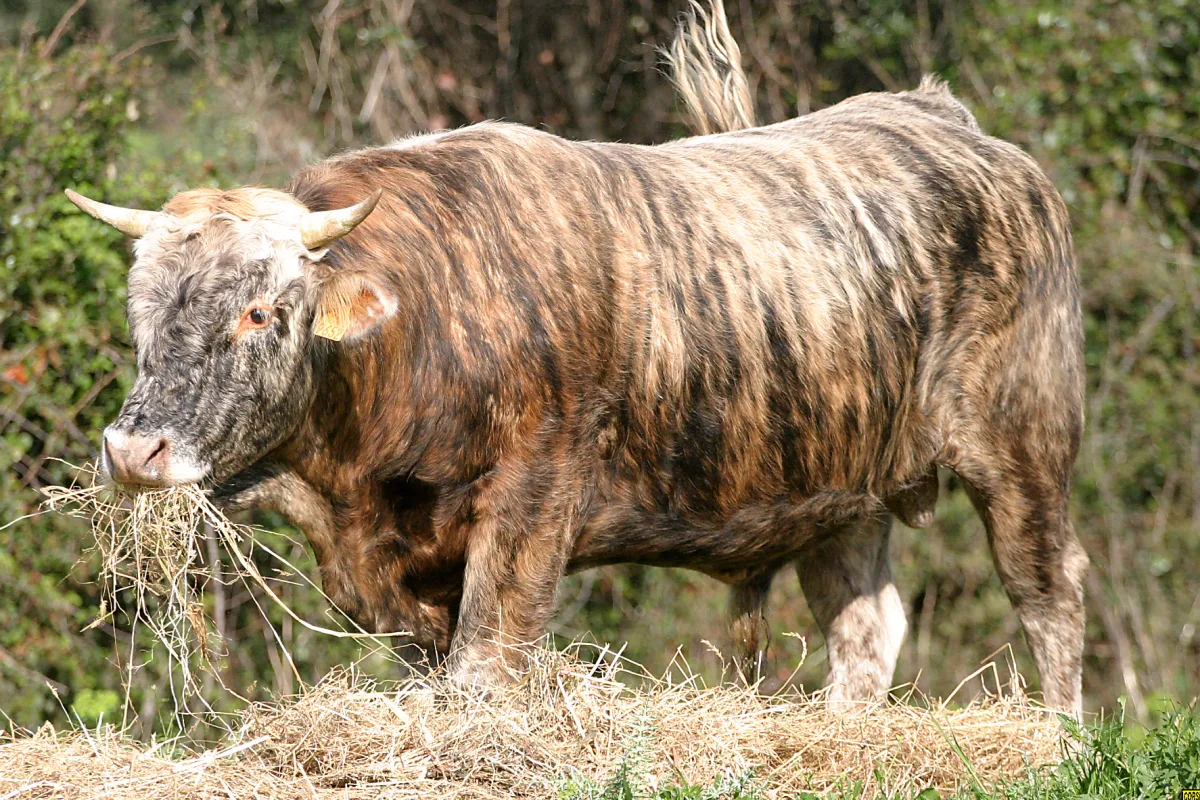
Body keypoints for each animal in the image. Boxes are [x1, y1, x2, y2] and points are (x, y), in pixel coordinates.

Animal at [67, 0, 1088, 716]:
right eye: (140, 310)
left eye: (261, 312)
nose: (134, 452)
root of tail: (937, 114)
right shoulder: (395, 577)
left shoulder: (534, 499)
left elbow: (490, 658)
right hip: (844, 487)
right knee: (866, 623)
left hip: (1021, 444)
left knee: (1051, 593)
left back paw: (1059, 741)